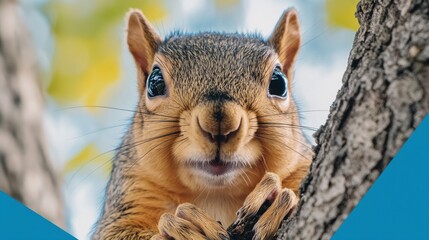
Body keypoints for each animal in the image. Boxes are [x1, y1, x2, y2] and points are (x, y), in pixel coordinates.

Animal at [93, 7, 310, 240]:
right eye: (154, 82)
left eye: (279, 83)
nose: (219, 125)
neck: (216, 195)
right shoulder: (133, 185)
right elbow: (112, 232)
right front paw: (184, 226)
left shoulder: (301, 166)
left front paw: (276, 200)